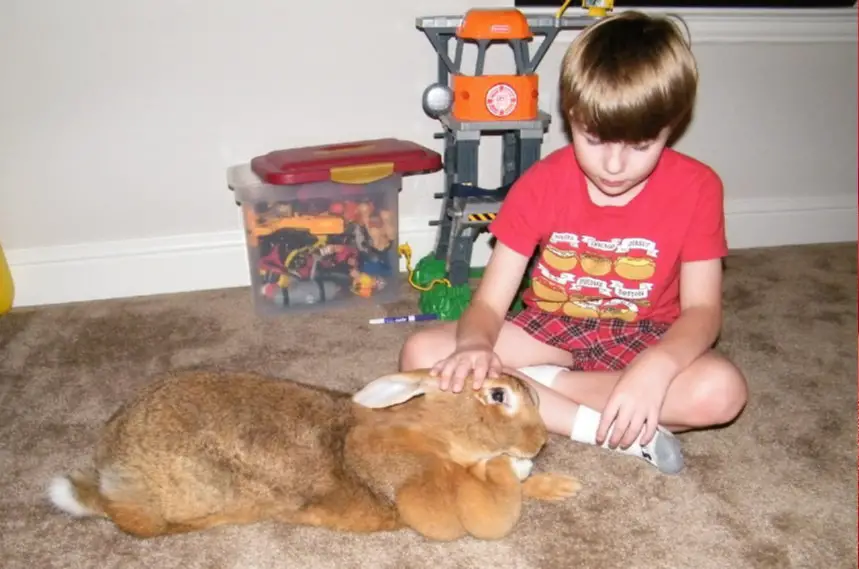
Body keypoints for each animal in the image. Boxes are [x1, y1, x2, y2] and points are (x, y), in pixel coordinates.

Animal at [48, 366, 584, 540]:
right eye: (497, 395)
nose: (539, 443)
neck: (434, 429)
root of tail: (108, 470)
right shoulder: (429, 494)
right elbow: (492, 497)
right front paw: (520, 467)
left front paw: (563, 485)